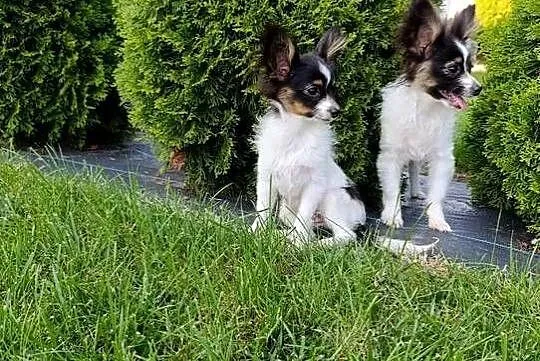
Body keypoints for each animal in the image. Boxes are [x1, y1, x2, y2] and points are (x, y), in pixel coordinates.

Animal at [250, 25, 368, 245]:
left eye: (333, 90)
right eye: (313, 90)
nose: (336, 111)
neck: (298, 130)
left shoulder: (314, 185)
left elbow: (303, 216)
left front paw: (296, 246)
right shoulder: (266, 178)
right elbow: (263, 210)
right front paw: (255, 233)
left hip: (332, 198)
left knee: (345, 235)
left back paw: (315, 245)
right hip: (286, 212)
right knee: (308, 229)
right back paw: (282, 235)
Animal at [378, 0, 484, 231]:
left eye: (470, 68)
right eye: (453, 69)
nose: (478, 89)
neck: (426, 108)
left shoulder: (442, 158)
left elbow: (437, 195)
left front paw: (437, 219)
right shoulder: (390, 156)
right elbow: (392, 191)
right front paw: (392, 216)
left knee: (415, 168)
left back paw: (416, 191)